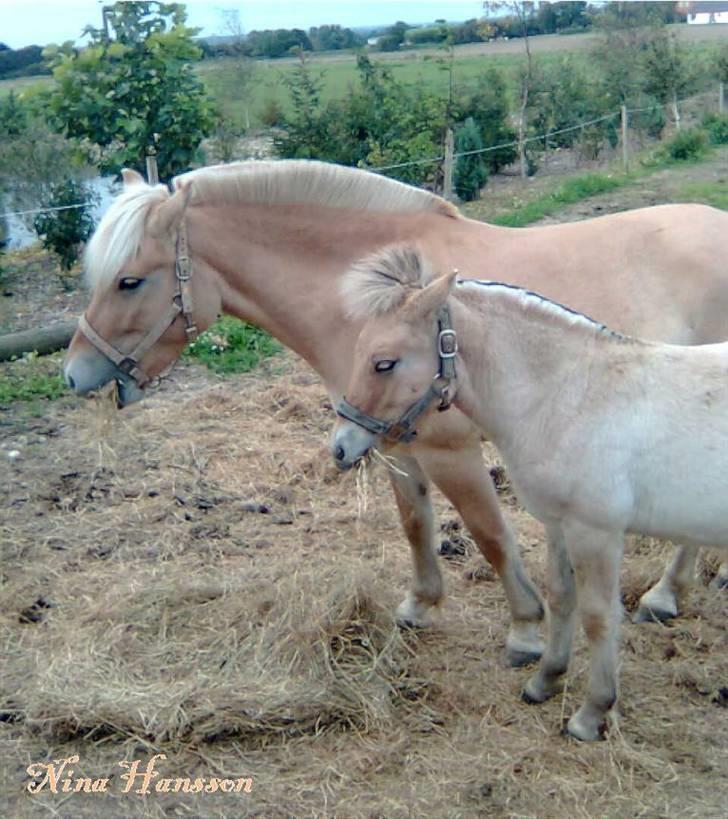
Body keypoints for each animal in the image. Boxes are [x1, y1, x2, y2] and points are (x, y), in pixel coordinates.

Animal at [64, 162, 728, 668]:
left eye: (129, 281)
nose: (74, 373)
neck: (371, 300)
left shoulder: (449, 449)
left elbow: (491, 535)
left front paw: (524, 631)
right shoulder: (388, 441)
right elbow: (416, 524)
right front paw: (420, 605)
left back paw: (664, 595)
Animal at [332, 247, 728, 740]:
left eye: (384, 363)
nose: (341, 447)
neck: (572, 396)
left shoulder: (595, 532)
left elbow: (598, 616)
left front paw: (592, 713)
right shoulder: (558, 524)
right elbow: (561, 598)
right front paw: (546, 680)